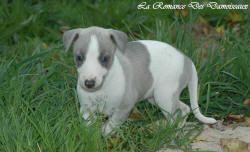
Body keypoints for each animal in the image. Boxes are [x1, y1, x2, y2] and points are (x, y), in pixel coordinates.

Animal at [63, 26, 217, 135]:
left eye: (105, 58)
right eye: (79, 58)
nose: (89, 83)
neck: (102, 88)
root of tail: (187, 59)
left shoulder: (124, 107)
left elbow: (110, 126)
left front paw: (103, 136)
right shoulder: (86, 109)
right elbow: (89, 125)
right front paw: (91, 136)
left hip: (164, 95)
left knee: (178, 111)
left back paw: (169, 132)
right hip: (157, 97)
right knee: (183, 108)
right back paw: (175, 128)